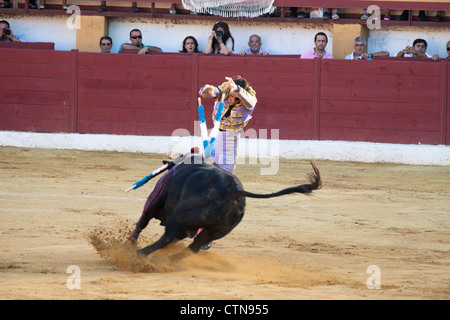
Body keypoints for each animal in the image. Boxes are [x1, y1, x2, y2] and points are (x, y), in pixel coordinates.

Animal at [128, 154, 322, 258]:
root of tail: (233, 190)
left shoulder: (154, 199)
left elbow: (142, 221)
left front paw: (128, 244)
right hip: (217, 230)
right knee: (194, 247)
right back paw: (169, 259)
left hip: (178, 217)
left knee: (167, 238)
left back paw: (141, 254)